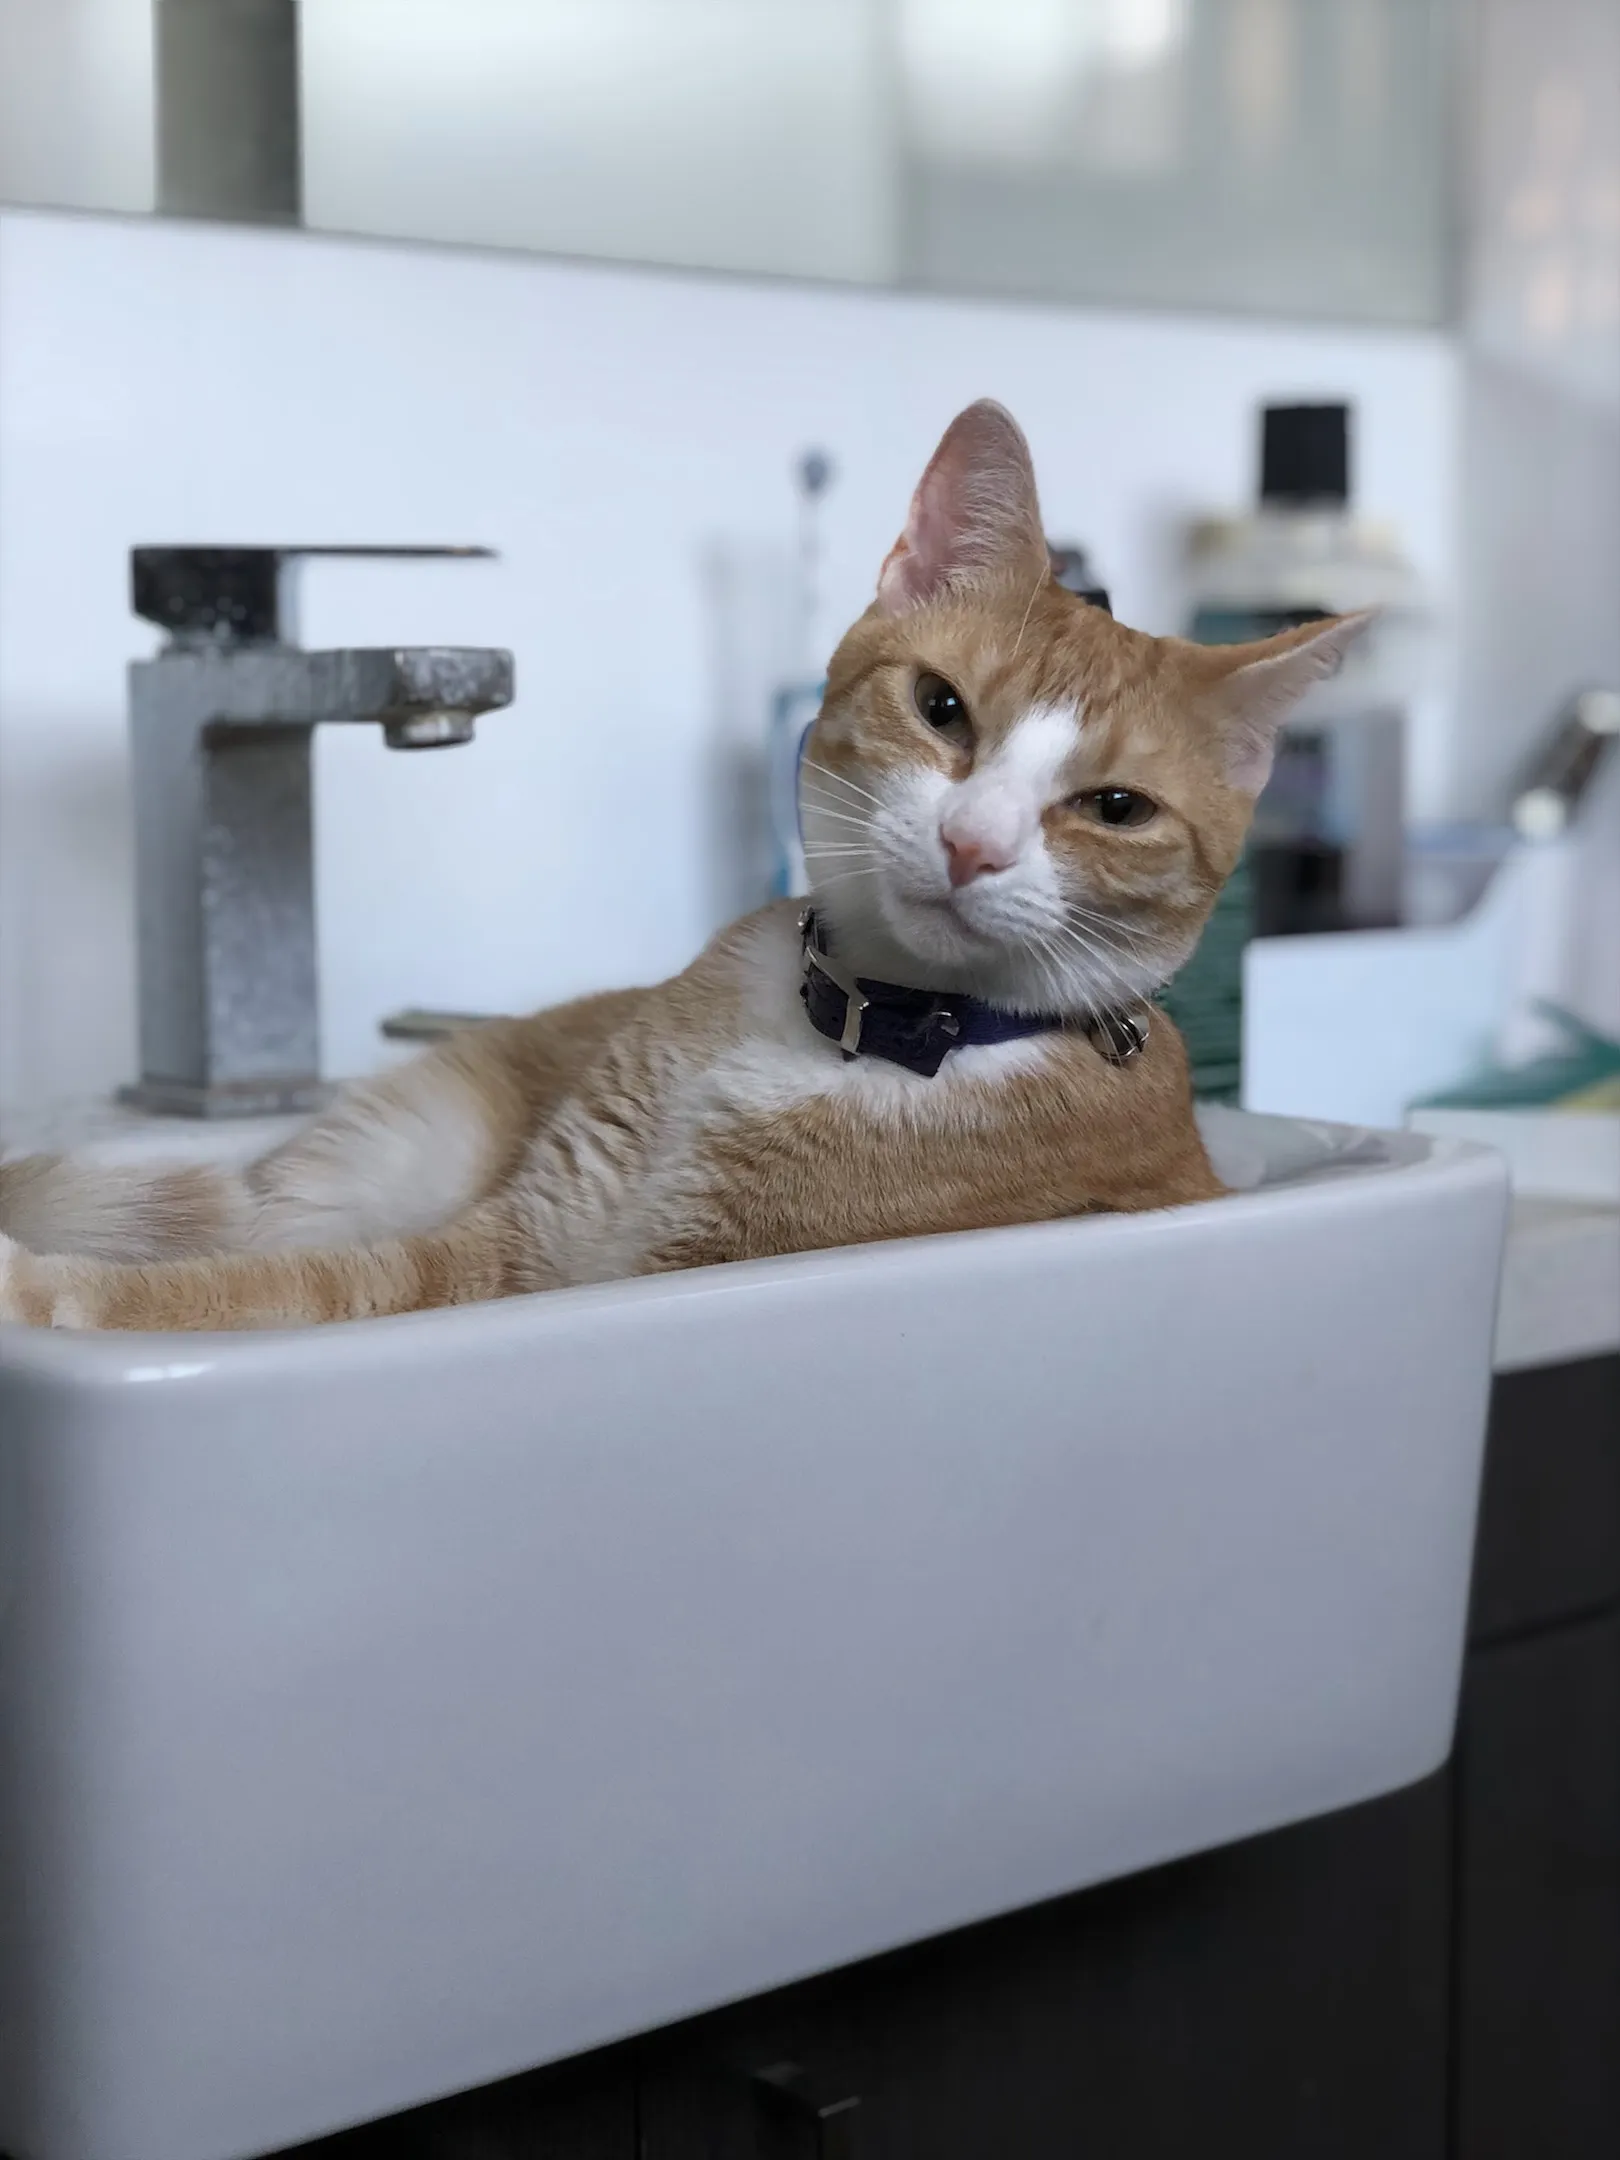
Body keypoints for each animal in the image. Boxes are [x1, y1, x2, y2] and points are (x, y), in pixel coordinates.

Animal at [0, 397, 1373, 1321]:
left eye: (1117, 807)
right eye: (941, 708)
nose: (973, 843)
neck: (856, 1030)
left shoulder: (542, 1275)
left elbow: (243, 1295)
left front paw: (44, 1291)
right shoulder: (531, 1227)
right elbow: (259, 1271)